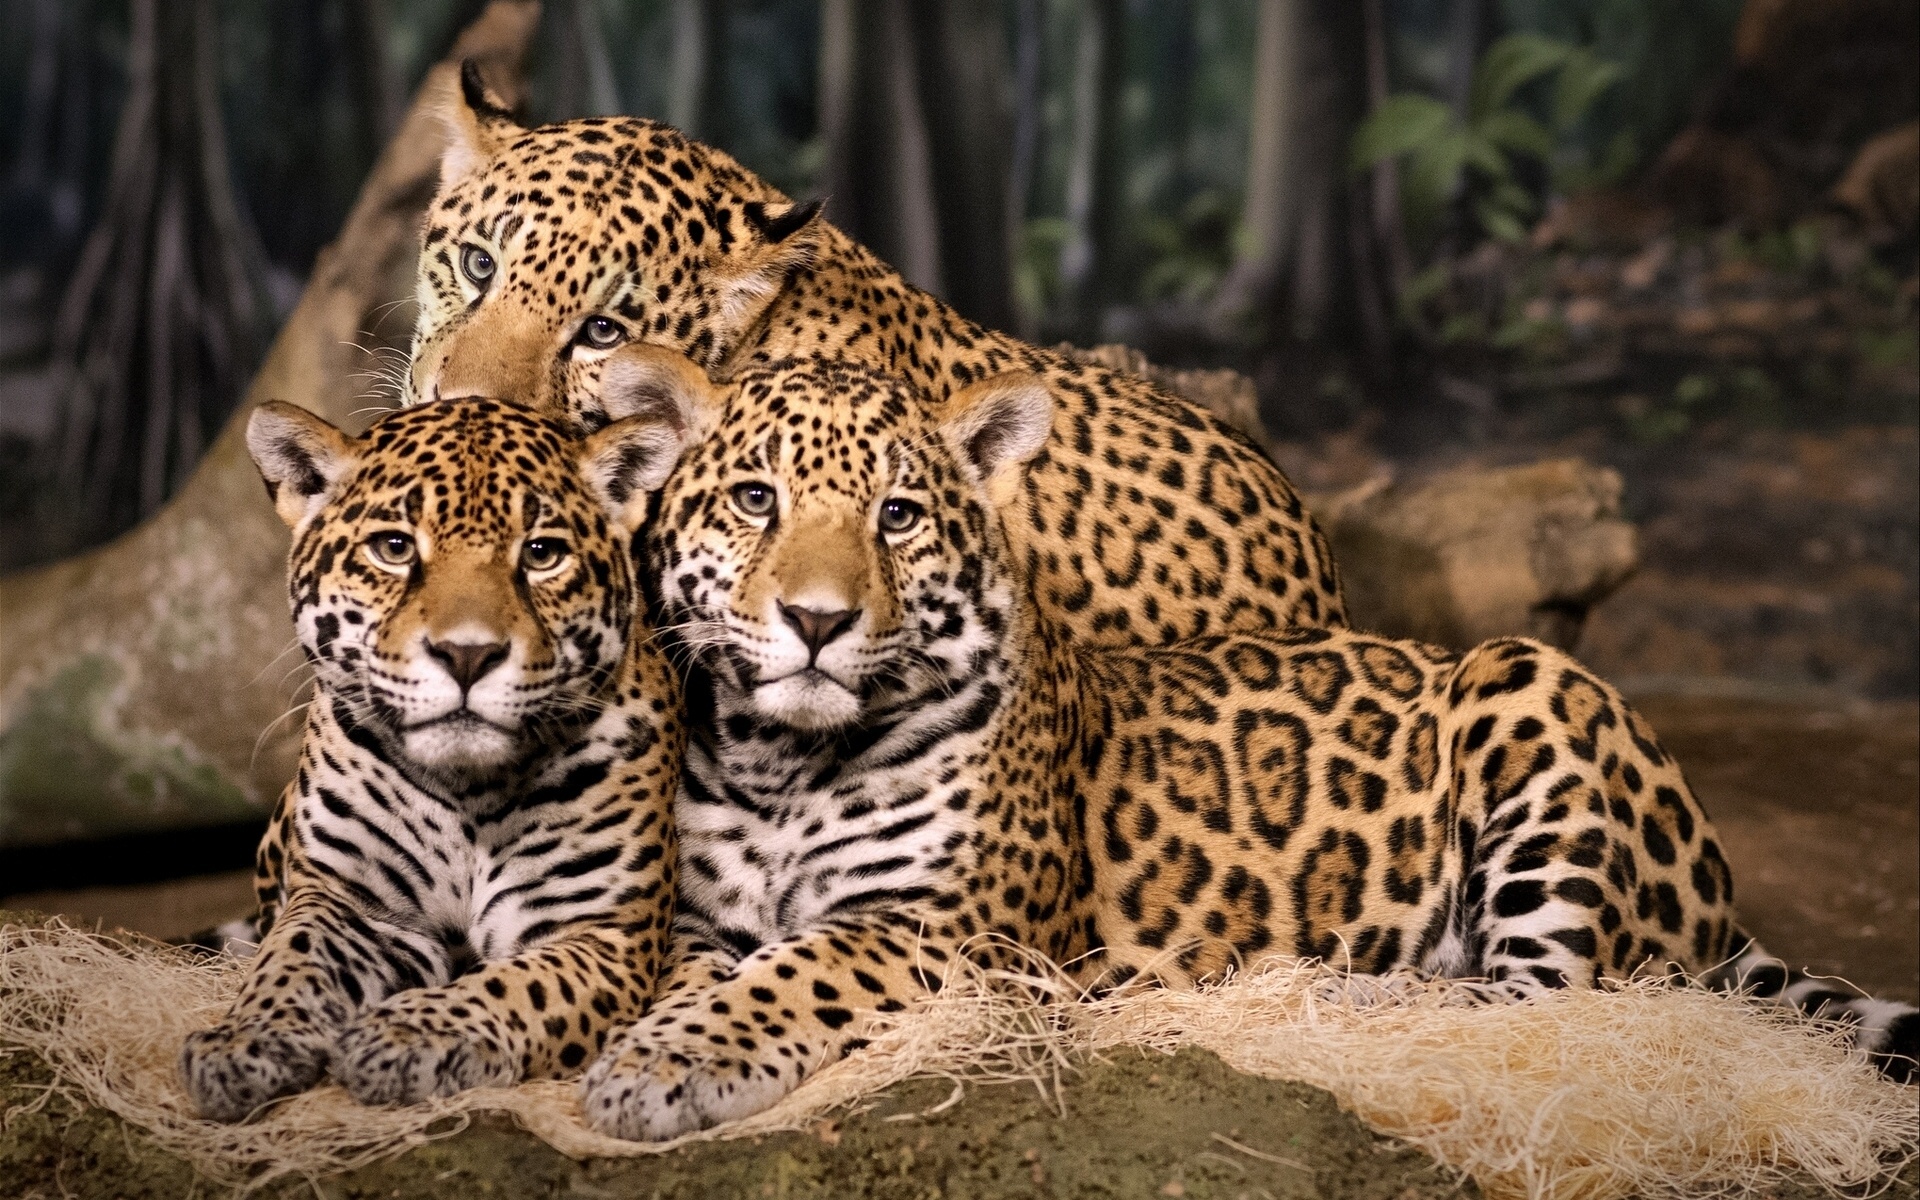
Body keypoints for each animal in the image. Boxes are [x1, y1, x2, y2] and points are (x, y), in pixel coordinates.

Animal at [180, 395, 690, 1121]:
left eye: (542, 553)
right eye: (394, 548)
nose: (467, 655)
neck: (470, 792)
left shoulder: (603, 935)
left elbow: (517, 985)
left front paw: (405, 1035)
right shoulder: (349, 902)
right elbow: (291, 959)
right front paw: (241, 1040)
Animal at [570, 351, 1916, 1140]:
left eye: (897, 517)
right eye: (756, 500)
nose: (817, 622)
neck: (780, 761)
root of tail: (1719, 897)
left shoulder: (955, 932)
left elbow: (800, 971)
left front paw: (663, 1070)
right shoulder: (698, 922)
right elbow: (709, 973)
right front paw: (657, 1039)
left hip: (1529, 681)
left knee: (1547, 1000)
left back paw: (1331, 990)